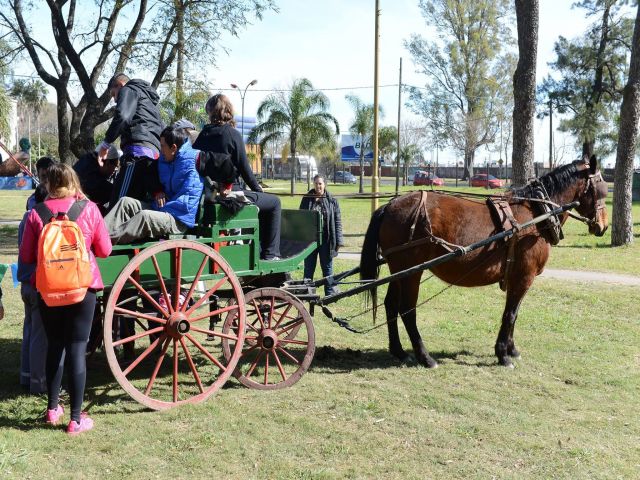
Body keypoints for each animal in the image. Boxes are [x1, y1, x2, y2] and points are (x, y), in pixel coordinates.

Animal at [362, 157, 608, 368]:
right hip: (411, 272)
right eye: (603, 189)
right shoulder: (524, 277)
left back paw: (399, 351)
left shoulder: (518, 278)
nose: (603, 226)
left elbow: (514, 313)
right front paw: (503, 354)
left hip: (400, 271)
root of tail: (390, 205)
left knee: (391, 304)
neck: (538, 214)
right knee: (407, 309)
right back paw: (425, 357)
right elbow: (510, 314)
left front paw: (511, 350)